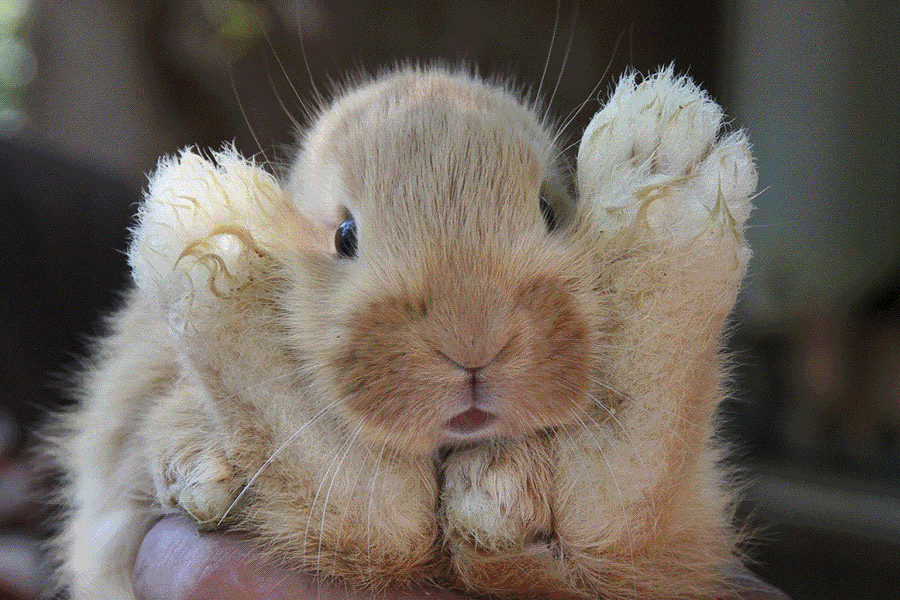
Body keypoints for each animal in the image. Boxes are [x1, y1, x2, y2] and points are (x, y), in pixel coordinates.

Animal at [47, 65, 752, 600]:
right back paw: (205, 221)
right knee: (381, 515)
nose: (473, 344)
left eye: (549, 211)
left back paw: (665, 159)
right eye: (344, 235)